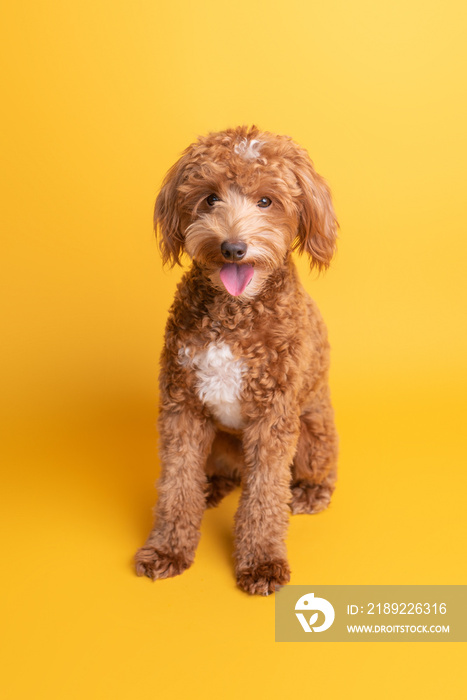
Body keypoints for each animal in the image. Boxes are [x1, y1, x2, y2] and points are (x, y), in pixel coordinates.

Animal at [135, 127, 340, 596]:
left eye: (267, 200)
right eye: (210, 198)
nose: (232, 247)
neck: (234, 313)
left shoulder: (273, 417)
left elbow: (265, 497)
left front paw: (262, 562)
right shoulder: (182, 407)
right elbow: (176, 484)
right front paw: (168, 550)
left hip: (314, 434)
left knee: (313, 474)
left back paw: (307, 492)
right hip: (217, 442)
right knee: (216, 475)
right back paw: (211, 487)